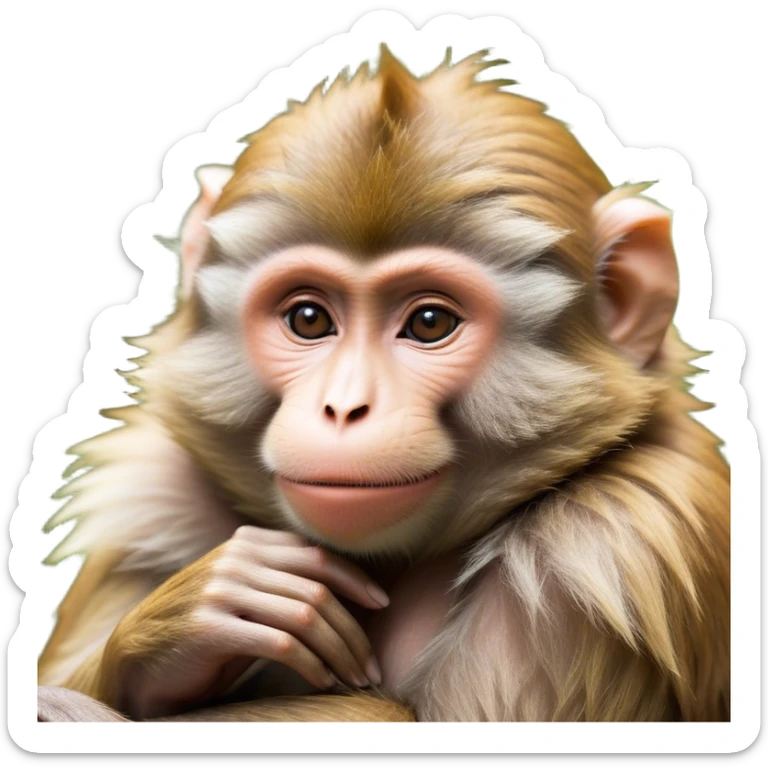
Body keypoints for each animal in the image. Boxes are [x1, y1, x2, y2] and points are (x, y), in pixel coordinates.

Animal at [36, 45, 729, 722]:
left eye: (429, 323)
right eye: (308, 318)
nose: (344, 407)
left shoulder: (609, 549)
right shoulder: (151, 499)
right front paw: (182, 623)